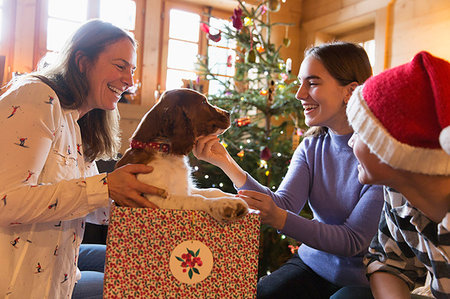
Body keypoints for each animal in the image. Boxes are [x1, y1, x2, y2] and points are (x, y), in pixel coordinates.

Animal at [116, 88, 248, 221]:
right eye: (203, 102)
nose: (228, 113)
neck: (162, 149)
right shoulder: (155, 199)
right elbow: (197, 199)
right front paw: (226, 204)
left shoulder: (185, 189)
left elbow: (212, 190)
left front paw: (232, 196)